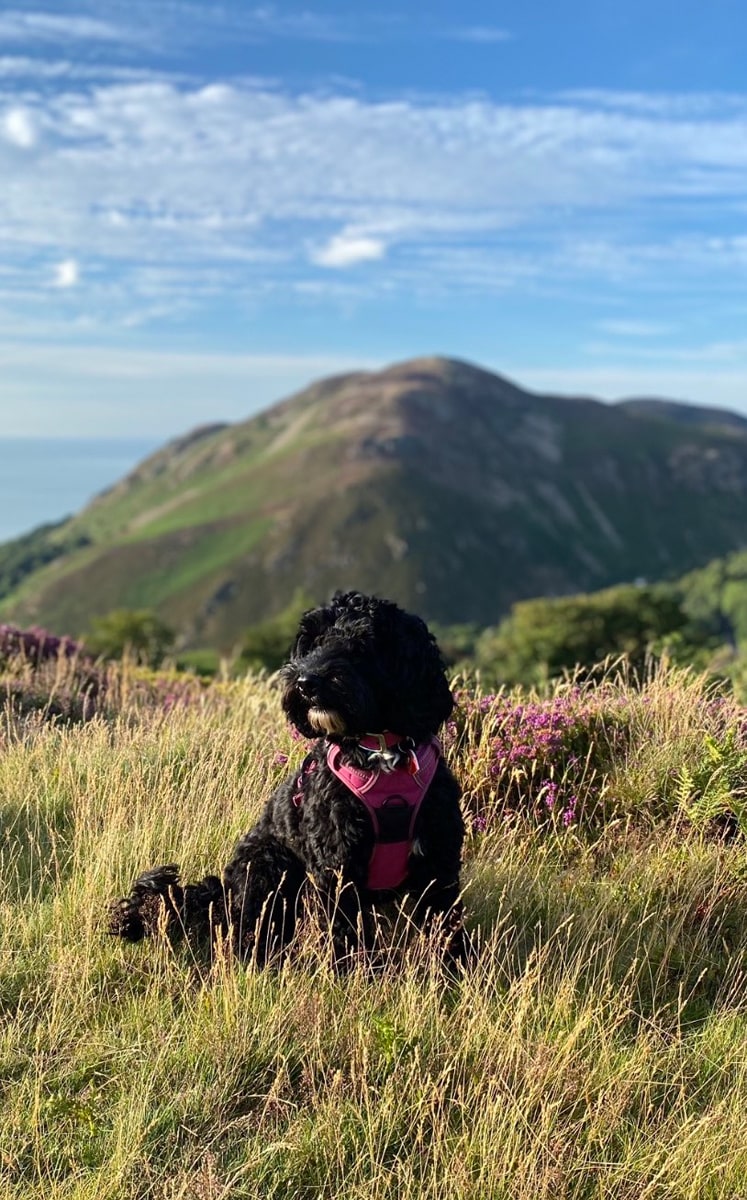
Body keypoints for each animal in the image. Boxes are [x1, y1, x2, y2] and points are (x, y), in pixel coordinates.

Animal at [108, 590, 465, 964]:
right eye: (313, 642)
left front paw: (454, 968)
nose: (306, 682)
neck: (378, 752)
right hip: (267, 867)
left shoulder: (438, 863)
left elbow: (446, 925)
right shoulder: (337, 868)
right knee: (251, 928)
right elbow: (346, 934)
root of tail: (224, 894)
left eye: (362, 642)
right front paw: (353, 971)